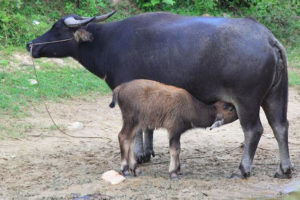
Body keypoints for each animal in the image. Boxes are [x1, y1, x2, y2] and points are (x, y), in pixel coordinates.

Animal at [27, 10, 292, 178]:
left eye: (57, 28)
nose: (31, 44)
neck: (107, 43)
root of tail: (269, 39)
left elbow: (137, 130)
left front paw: (137, 156)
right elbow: (148, 126)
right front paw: (146, 153)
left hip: (246, 101)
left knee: (253, 130)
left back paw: (242, 170)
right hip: (275, 95)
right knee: (280, 126)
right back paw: (284, 169)